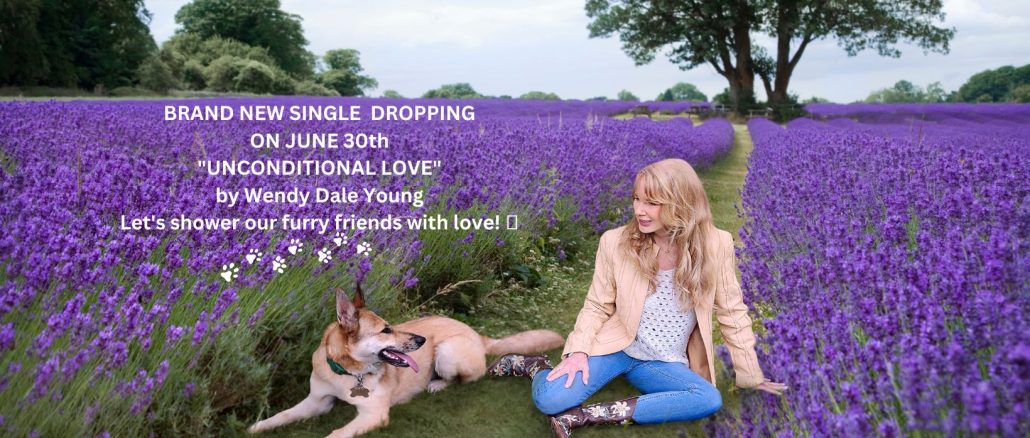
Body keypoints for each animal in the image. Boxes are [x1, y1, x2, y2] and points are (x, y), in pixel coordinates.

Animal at [248, 284, 564, 434]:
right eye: (386, 330)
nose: (421, 340)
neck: (349, 373)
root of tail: (476, 334)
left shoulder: (373, 415)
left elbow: (336, 433)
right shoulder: (316, 402)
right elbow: (282, 415)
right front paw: (255, 427)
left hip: (447, 353)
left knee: (464, 378)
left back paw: (436, 384)